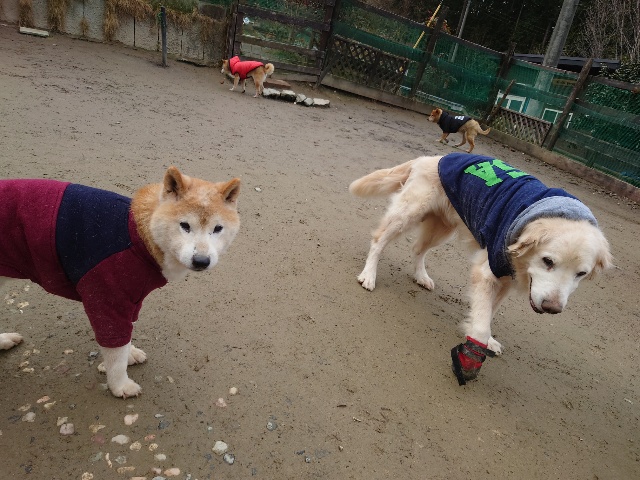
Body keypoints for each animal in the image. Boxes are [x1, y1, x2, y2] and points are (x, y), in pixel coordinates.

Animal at [0, 167, 241, 398]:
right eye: (185, 225)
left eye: (217, 229)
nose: (201, 260)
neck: (141, 235)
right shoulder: (106, 297)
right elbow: (115, 350)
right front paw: (119, 385)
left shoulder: (131, 300)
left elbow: (125, 338)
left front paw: (129, 353)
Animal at [350, 153, 612, 384]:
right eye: (548, 261)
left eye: (581, 274)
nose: (552, 308)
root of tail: (430, 158)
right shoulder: (488, 271)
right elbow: (482, 321)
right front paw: (473, 351)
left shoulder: (506, 278)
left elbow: (489, 312)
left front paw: (487, 338)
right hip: (408, 214)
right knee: (379, 241)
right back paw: (369, 275)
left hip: (442, 227)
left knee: (417, 249)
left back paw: (421, 276)